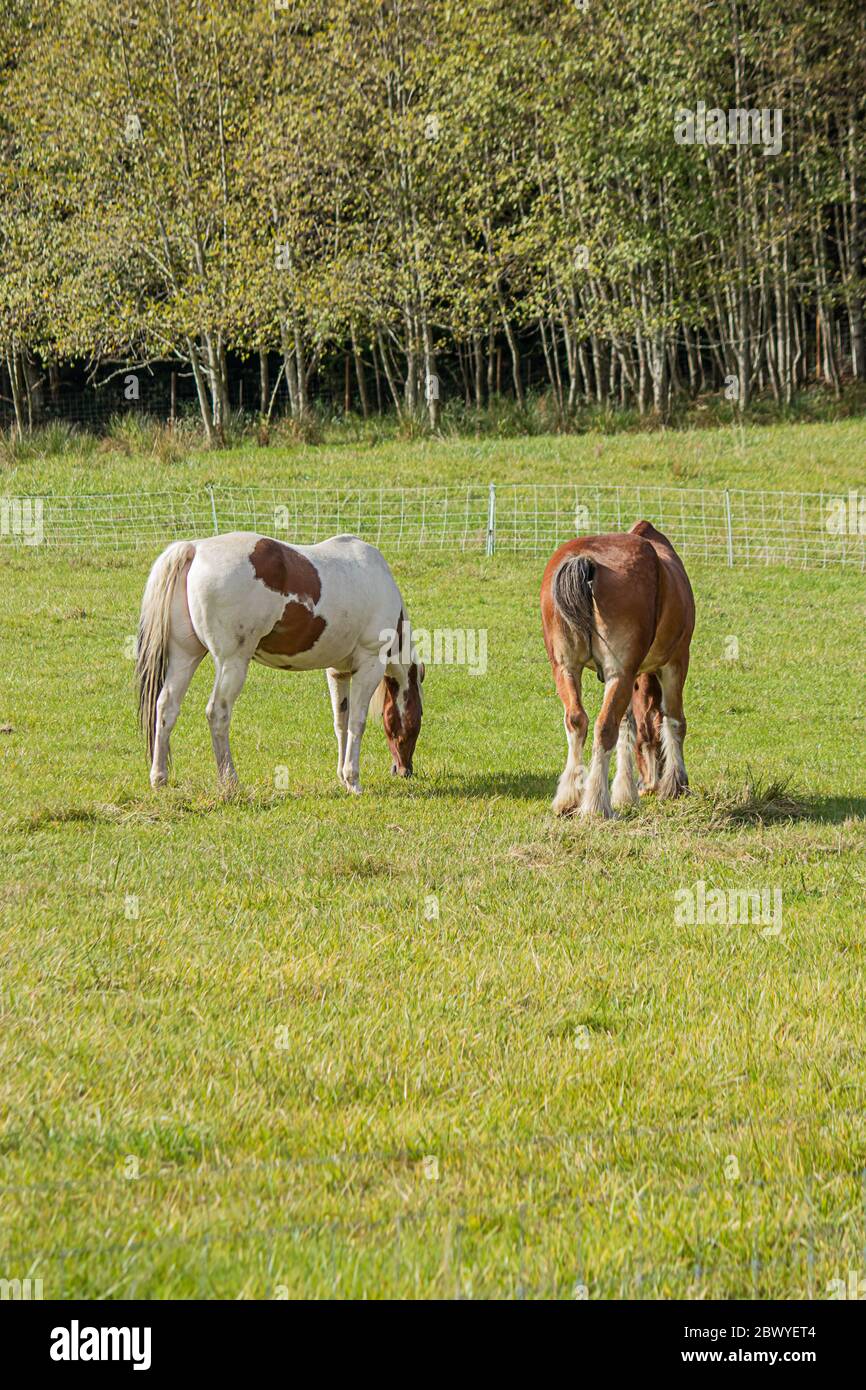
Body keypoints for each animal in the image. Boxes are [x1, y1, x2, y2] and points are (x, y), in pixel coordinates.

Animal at [136, 532, 423, 792]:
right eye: (419, 717)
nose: (404, 770)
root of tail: (195, 549)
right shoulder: (368, 666)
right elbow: (356, 723)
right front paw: (353, 781)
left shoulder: (337, 672)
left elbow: (341, 722)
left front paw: (342, 777)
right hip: (232, 663)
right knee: (217, 713)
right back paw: (230, 781)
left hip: (185, 657)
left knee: (166, 707)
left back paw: (159, 778)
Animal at [540, 519, 695, 818]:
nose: (648, 785)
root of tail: (586, 561)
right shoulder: (675, 662)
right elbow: (674, 720)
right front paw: (675, 784)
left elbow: (629, 726)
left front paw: (625, 792)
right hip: (620, 673)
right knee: (604, 728)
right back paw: (596, 806)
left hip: (567, 668)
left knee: (577, 720)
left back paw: (570, 798)